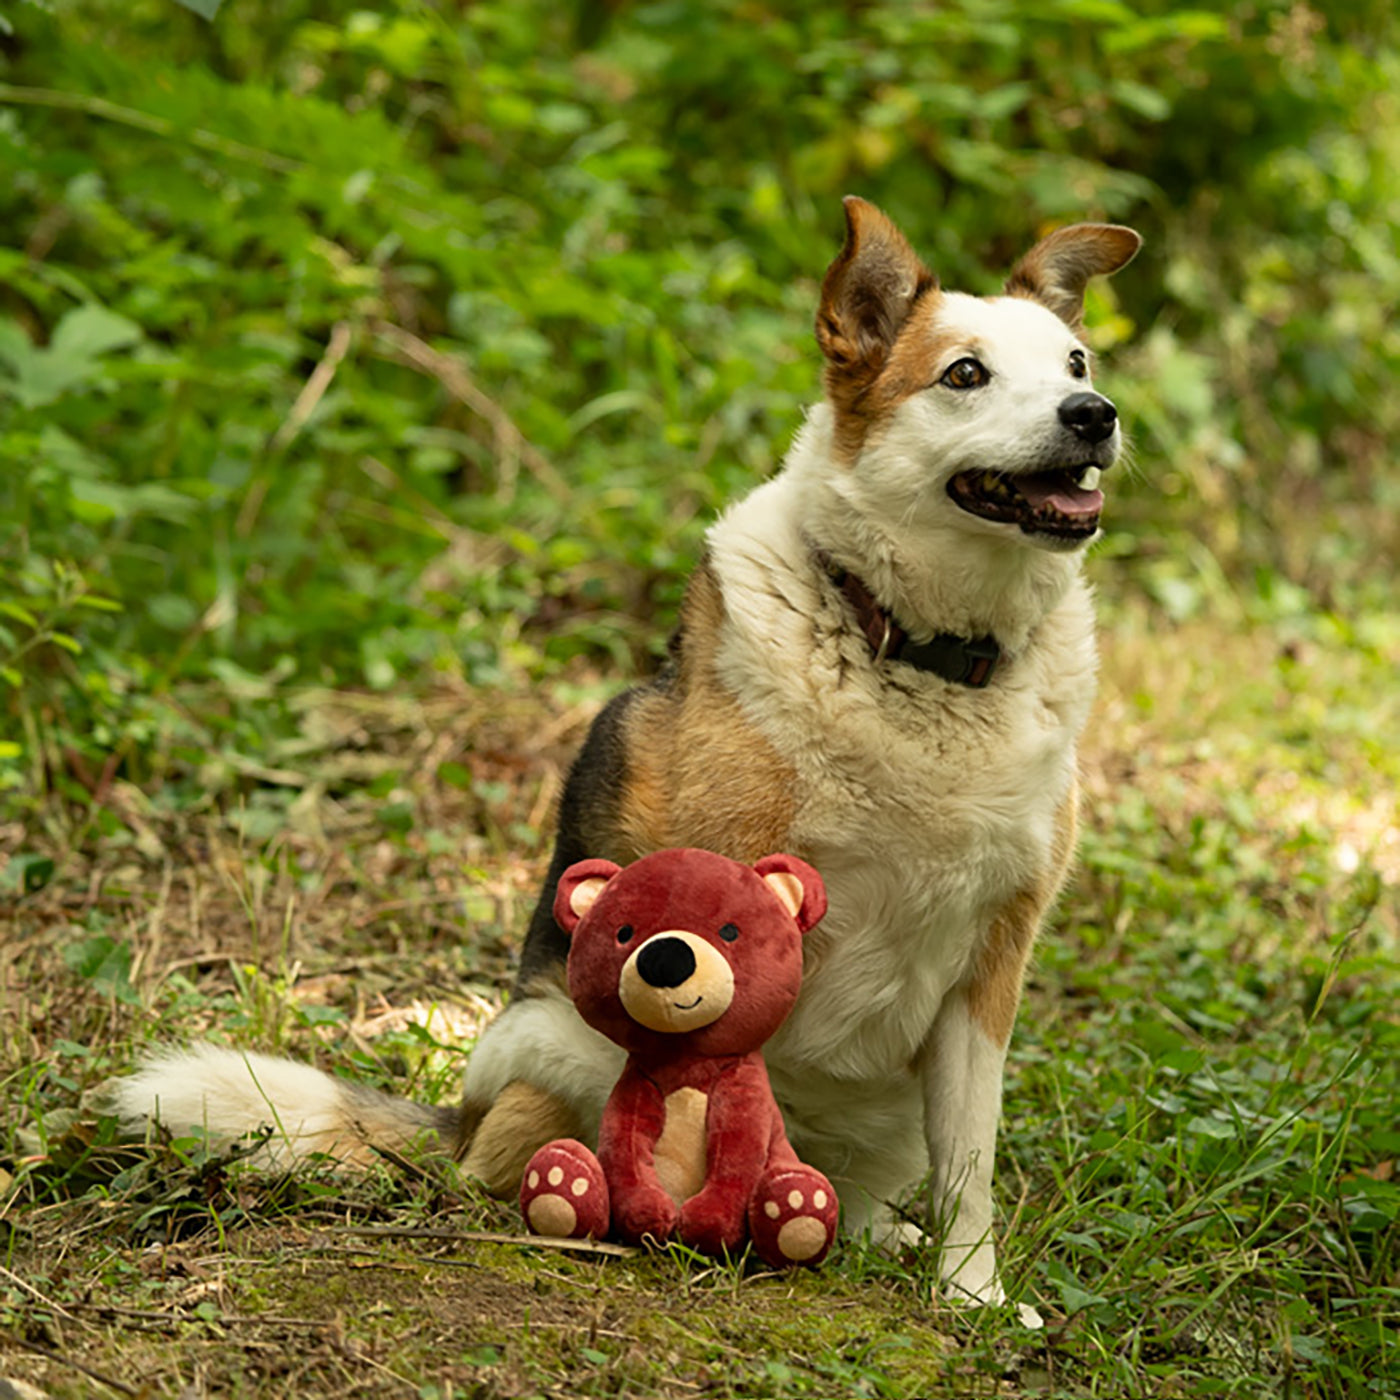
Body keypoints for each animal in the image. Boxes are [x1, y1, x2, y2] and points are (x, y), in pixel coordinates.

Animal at [117, 203, 1136, 1316]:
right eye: (964, 374)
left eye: (1075, 360)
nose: (1094, 414)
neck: (916, 652)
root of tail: (459, 1118)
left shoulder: (988, 975)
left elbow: (970, 1166)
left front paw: (968, 1296)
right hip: (554, 1040)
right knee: (521, 1159)